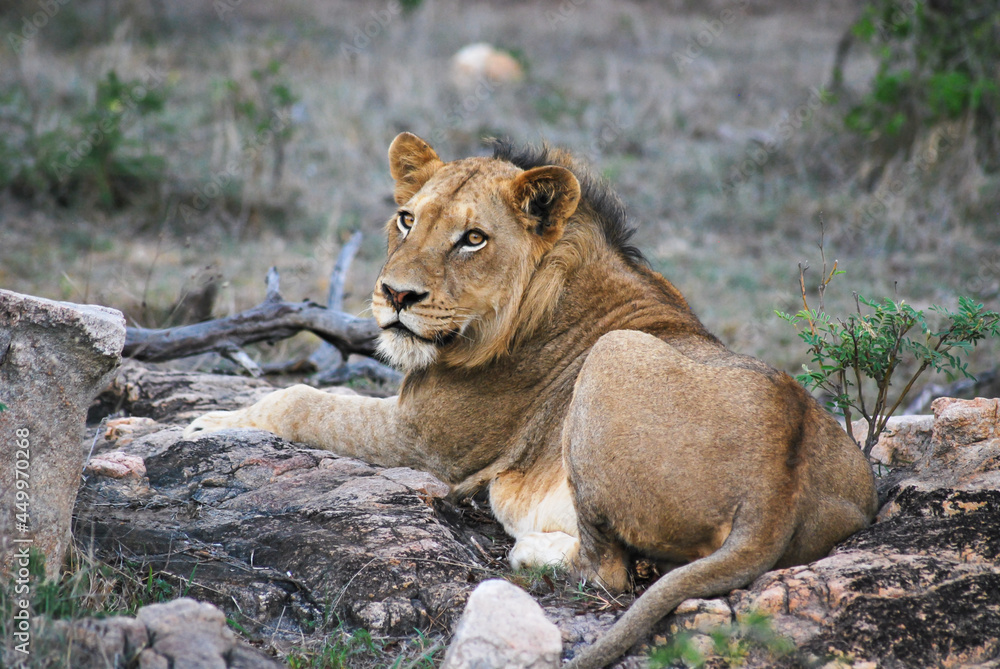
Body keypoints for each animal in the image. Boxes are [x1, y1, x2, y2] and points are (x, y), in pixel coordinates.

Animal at [185, 132, 878, 669]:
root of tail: (776, 486)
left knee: (609, 570)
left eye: (472, 239)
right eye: (407, 218)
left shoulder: (424, 442)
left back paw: (526, 545)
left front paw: (203, 423)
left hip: (614, 358)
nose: (395, 295)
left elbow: (300, 398)